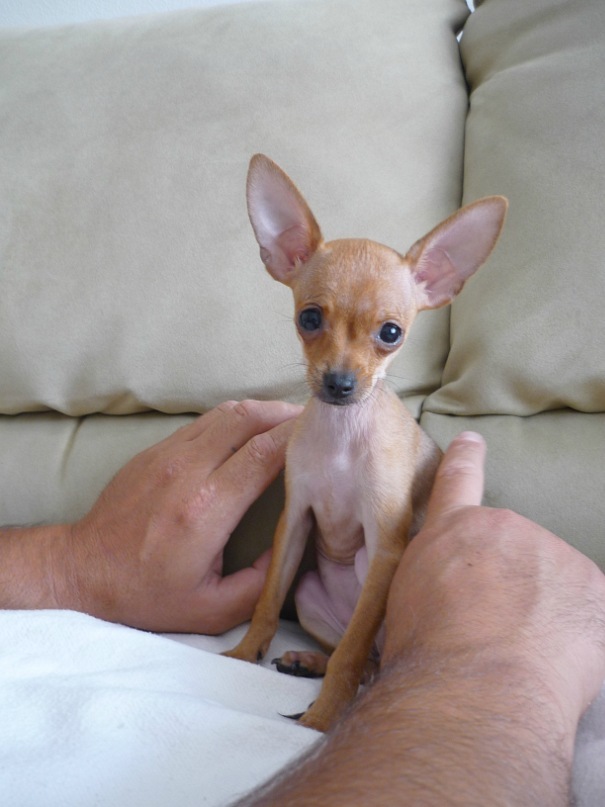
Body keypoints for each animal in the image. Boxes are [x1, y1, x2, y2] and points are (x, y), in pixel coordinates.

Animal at [224, 154, 507, 732]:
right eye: (309, 318)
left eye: (391, 333)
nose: (339, 383)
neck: (340, 436)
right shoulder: (296, 522)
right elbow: (267, 603)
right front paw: (244, 655)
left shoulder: (384, 549)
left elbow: (353, 651)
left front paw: (324, 716)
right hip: (309, 595)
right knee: (364, 657)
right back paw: (308, 659)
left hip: (368, 573)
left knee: (369, 657)